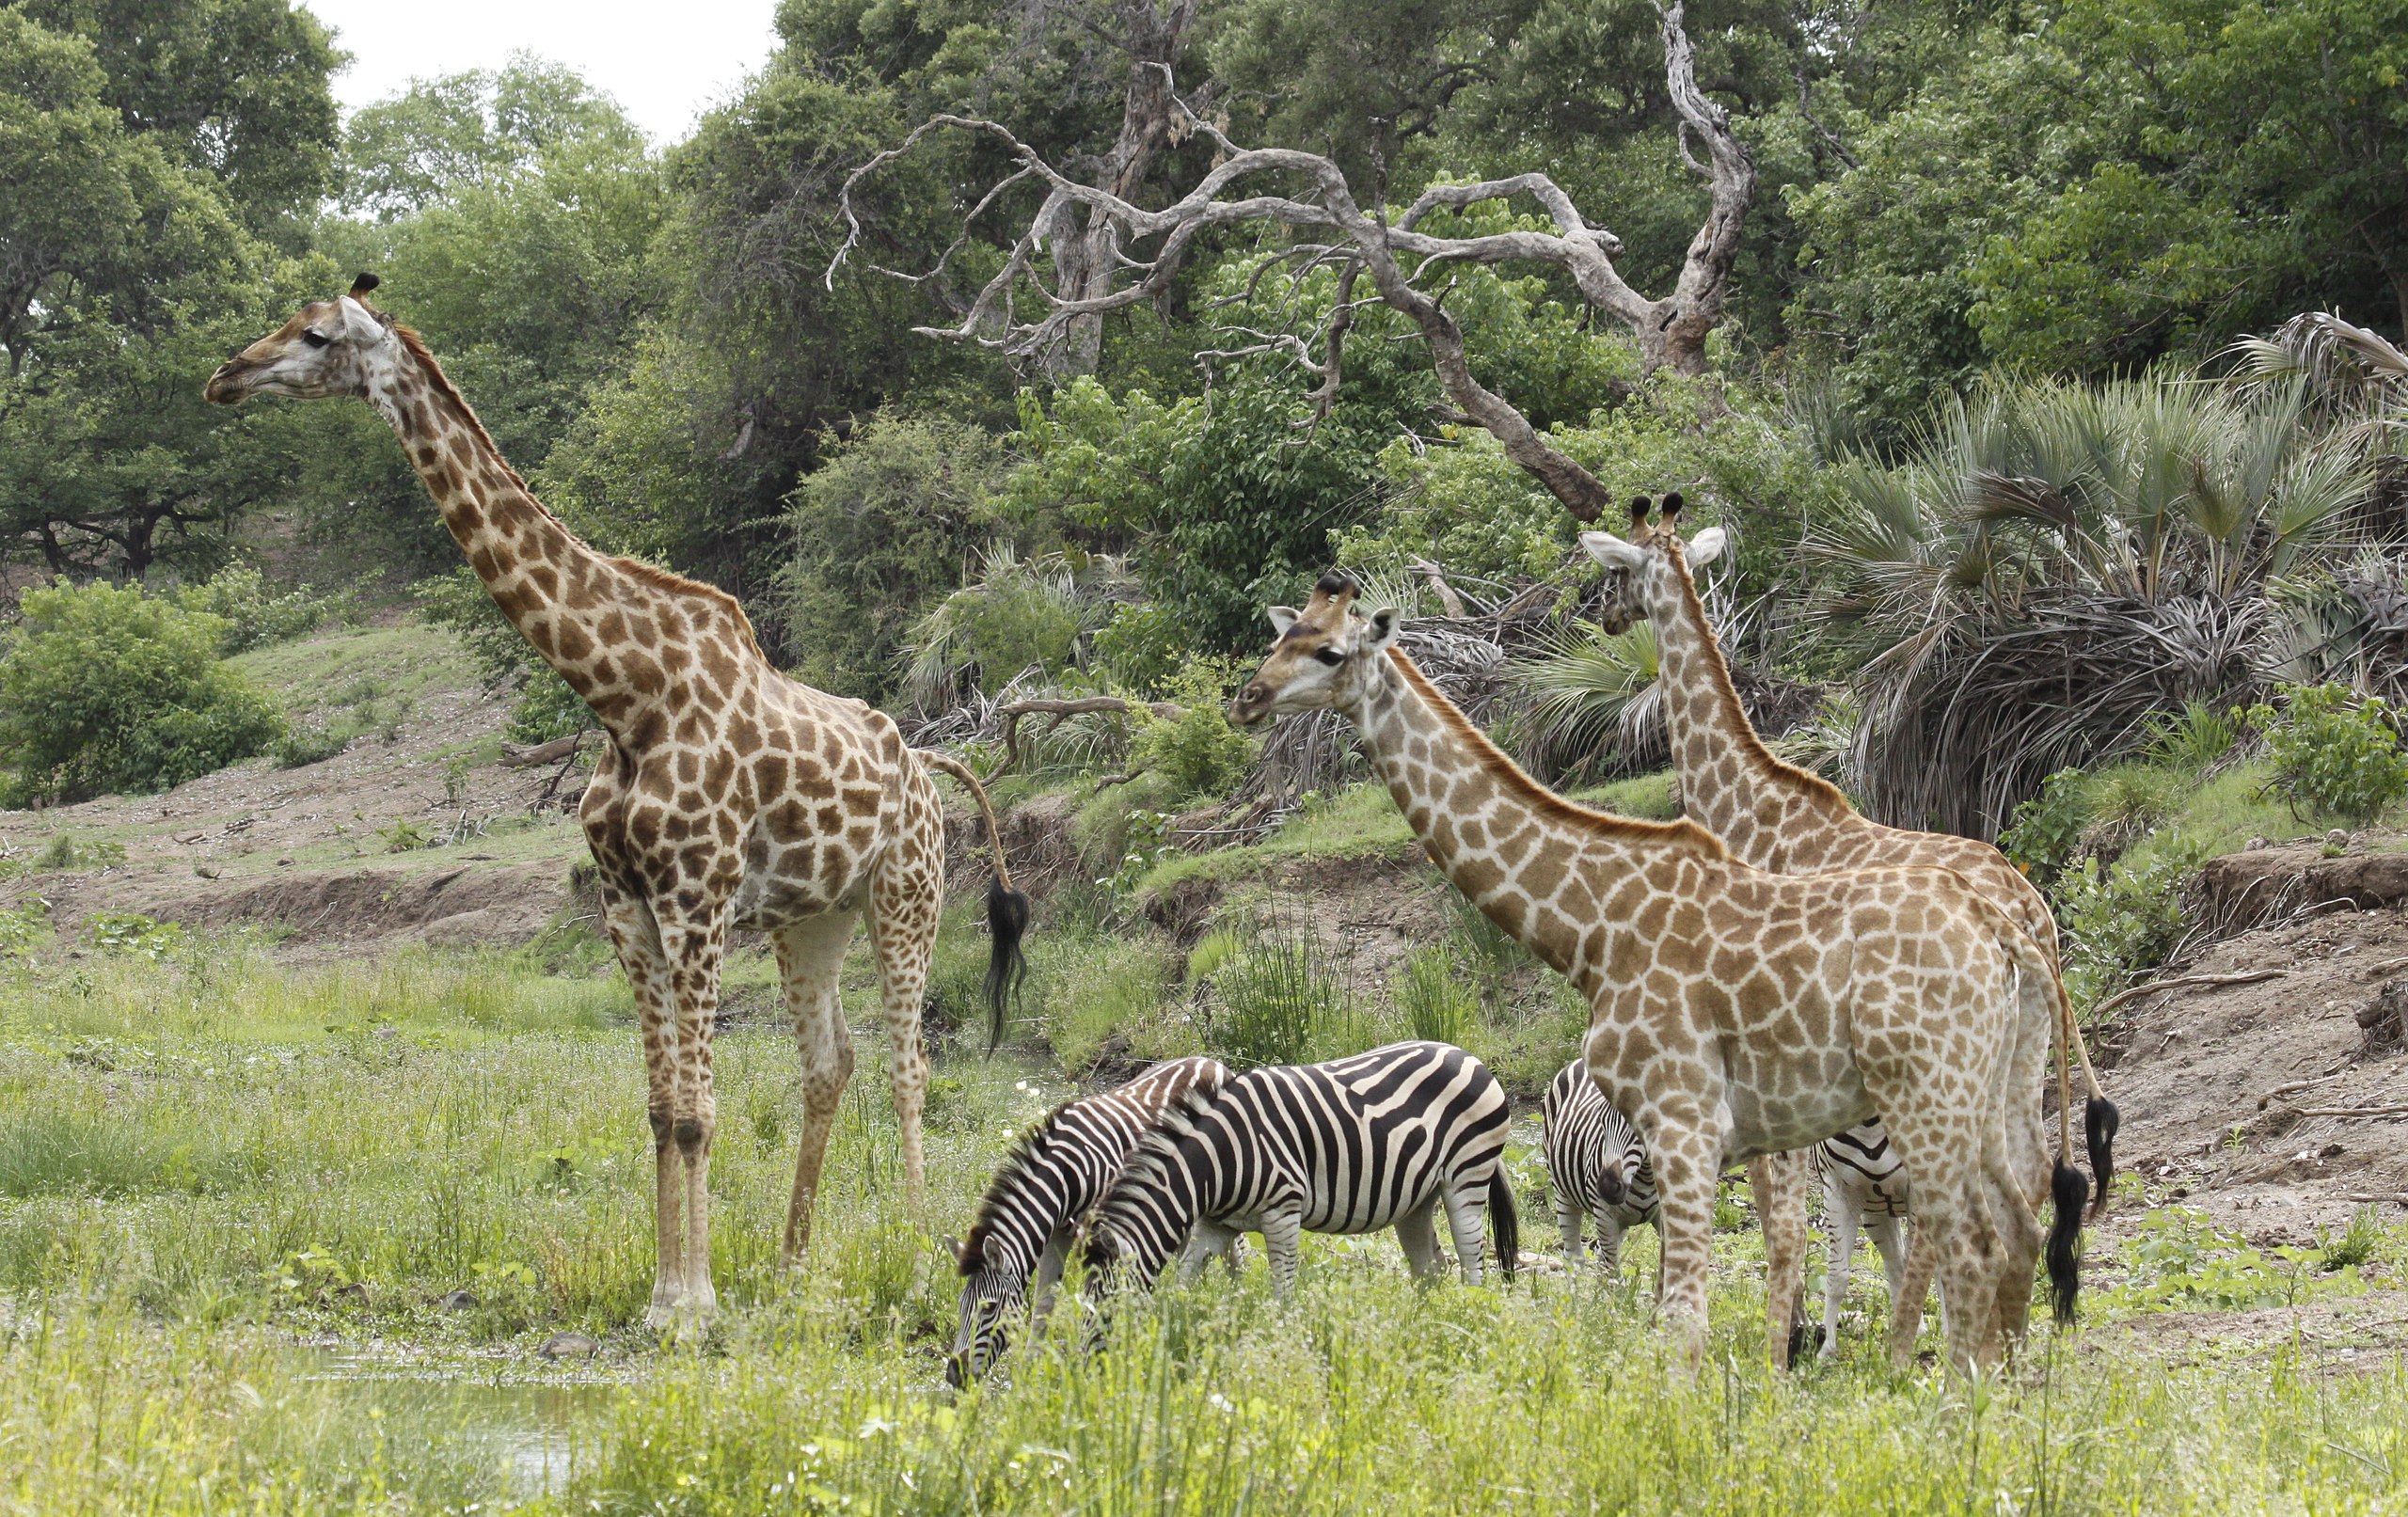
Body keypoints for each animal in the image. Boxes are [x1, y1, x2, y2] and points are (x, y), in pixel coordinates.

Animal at [204, 277, 1025, 1329]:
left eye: (313, 335)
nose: (225, 377)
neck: (624, 694)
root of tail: (929, 762)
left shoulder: (695, 899)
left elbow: (700, 1110)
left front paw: (698, 1303)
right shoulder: (627, 906)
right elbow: (662, 1110)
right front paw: (664, 1294)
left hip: (906, 894)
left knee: (908, 1063)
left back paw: (919, 1259)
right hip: (813, 916)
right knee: (828, 1062)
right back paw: (793, 1270)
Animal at [943, 1059, 1232, 1386]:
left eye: (989, 1309)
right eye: (961, 1305)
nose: (954, 1375)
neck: (1064, 1177)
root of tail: (1210, 1062)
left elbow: (1095, 1297)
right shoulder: (1057, 1234)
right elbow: (1044, 1303)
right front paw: (1030, 1371)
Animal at [1084, 1045, 1512, 1300]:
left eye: (1103, 1301)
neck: (1219, 1162)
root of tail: (1469, 1056)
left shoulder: (1283, 1211)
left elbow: (1283, 1291)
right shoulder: (1215, 1225)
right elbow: (1186, 1276)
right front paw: (1177, 1324)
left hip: (1467, 1176)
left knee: (1472, 1261)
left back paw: (1467, 1313)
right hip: (1416, 1200)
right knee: (1432, 1268)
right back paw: (1423, 1325)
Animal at [1242, 573, 2052, 1377]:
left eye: (1330, 651)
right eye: (1281, 638)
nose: (1249, 697)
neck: (1591, 928)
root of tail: (2005, 927)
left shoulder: (1683, 1119)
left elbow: (1683, 1323)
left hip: (1923, 1093)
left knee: (1971, 1244)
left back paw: (1951, 1398)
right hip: (1985, 1090)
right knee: (2020, 1228)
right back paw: (2006, 1396)